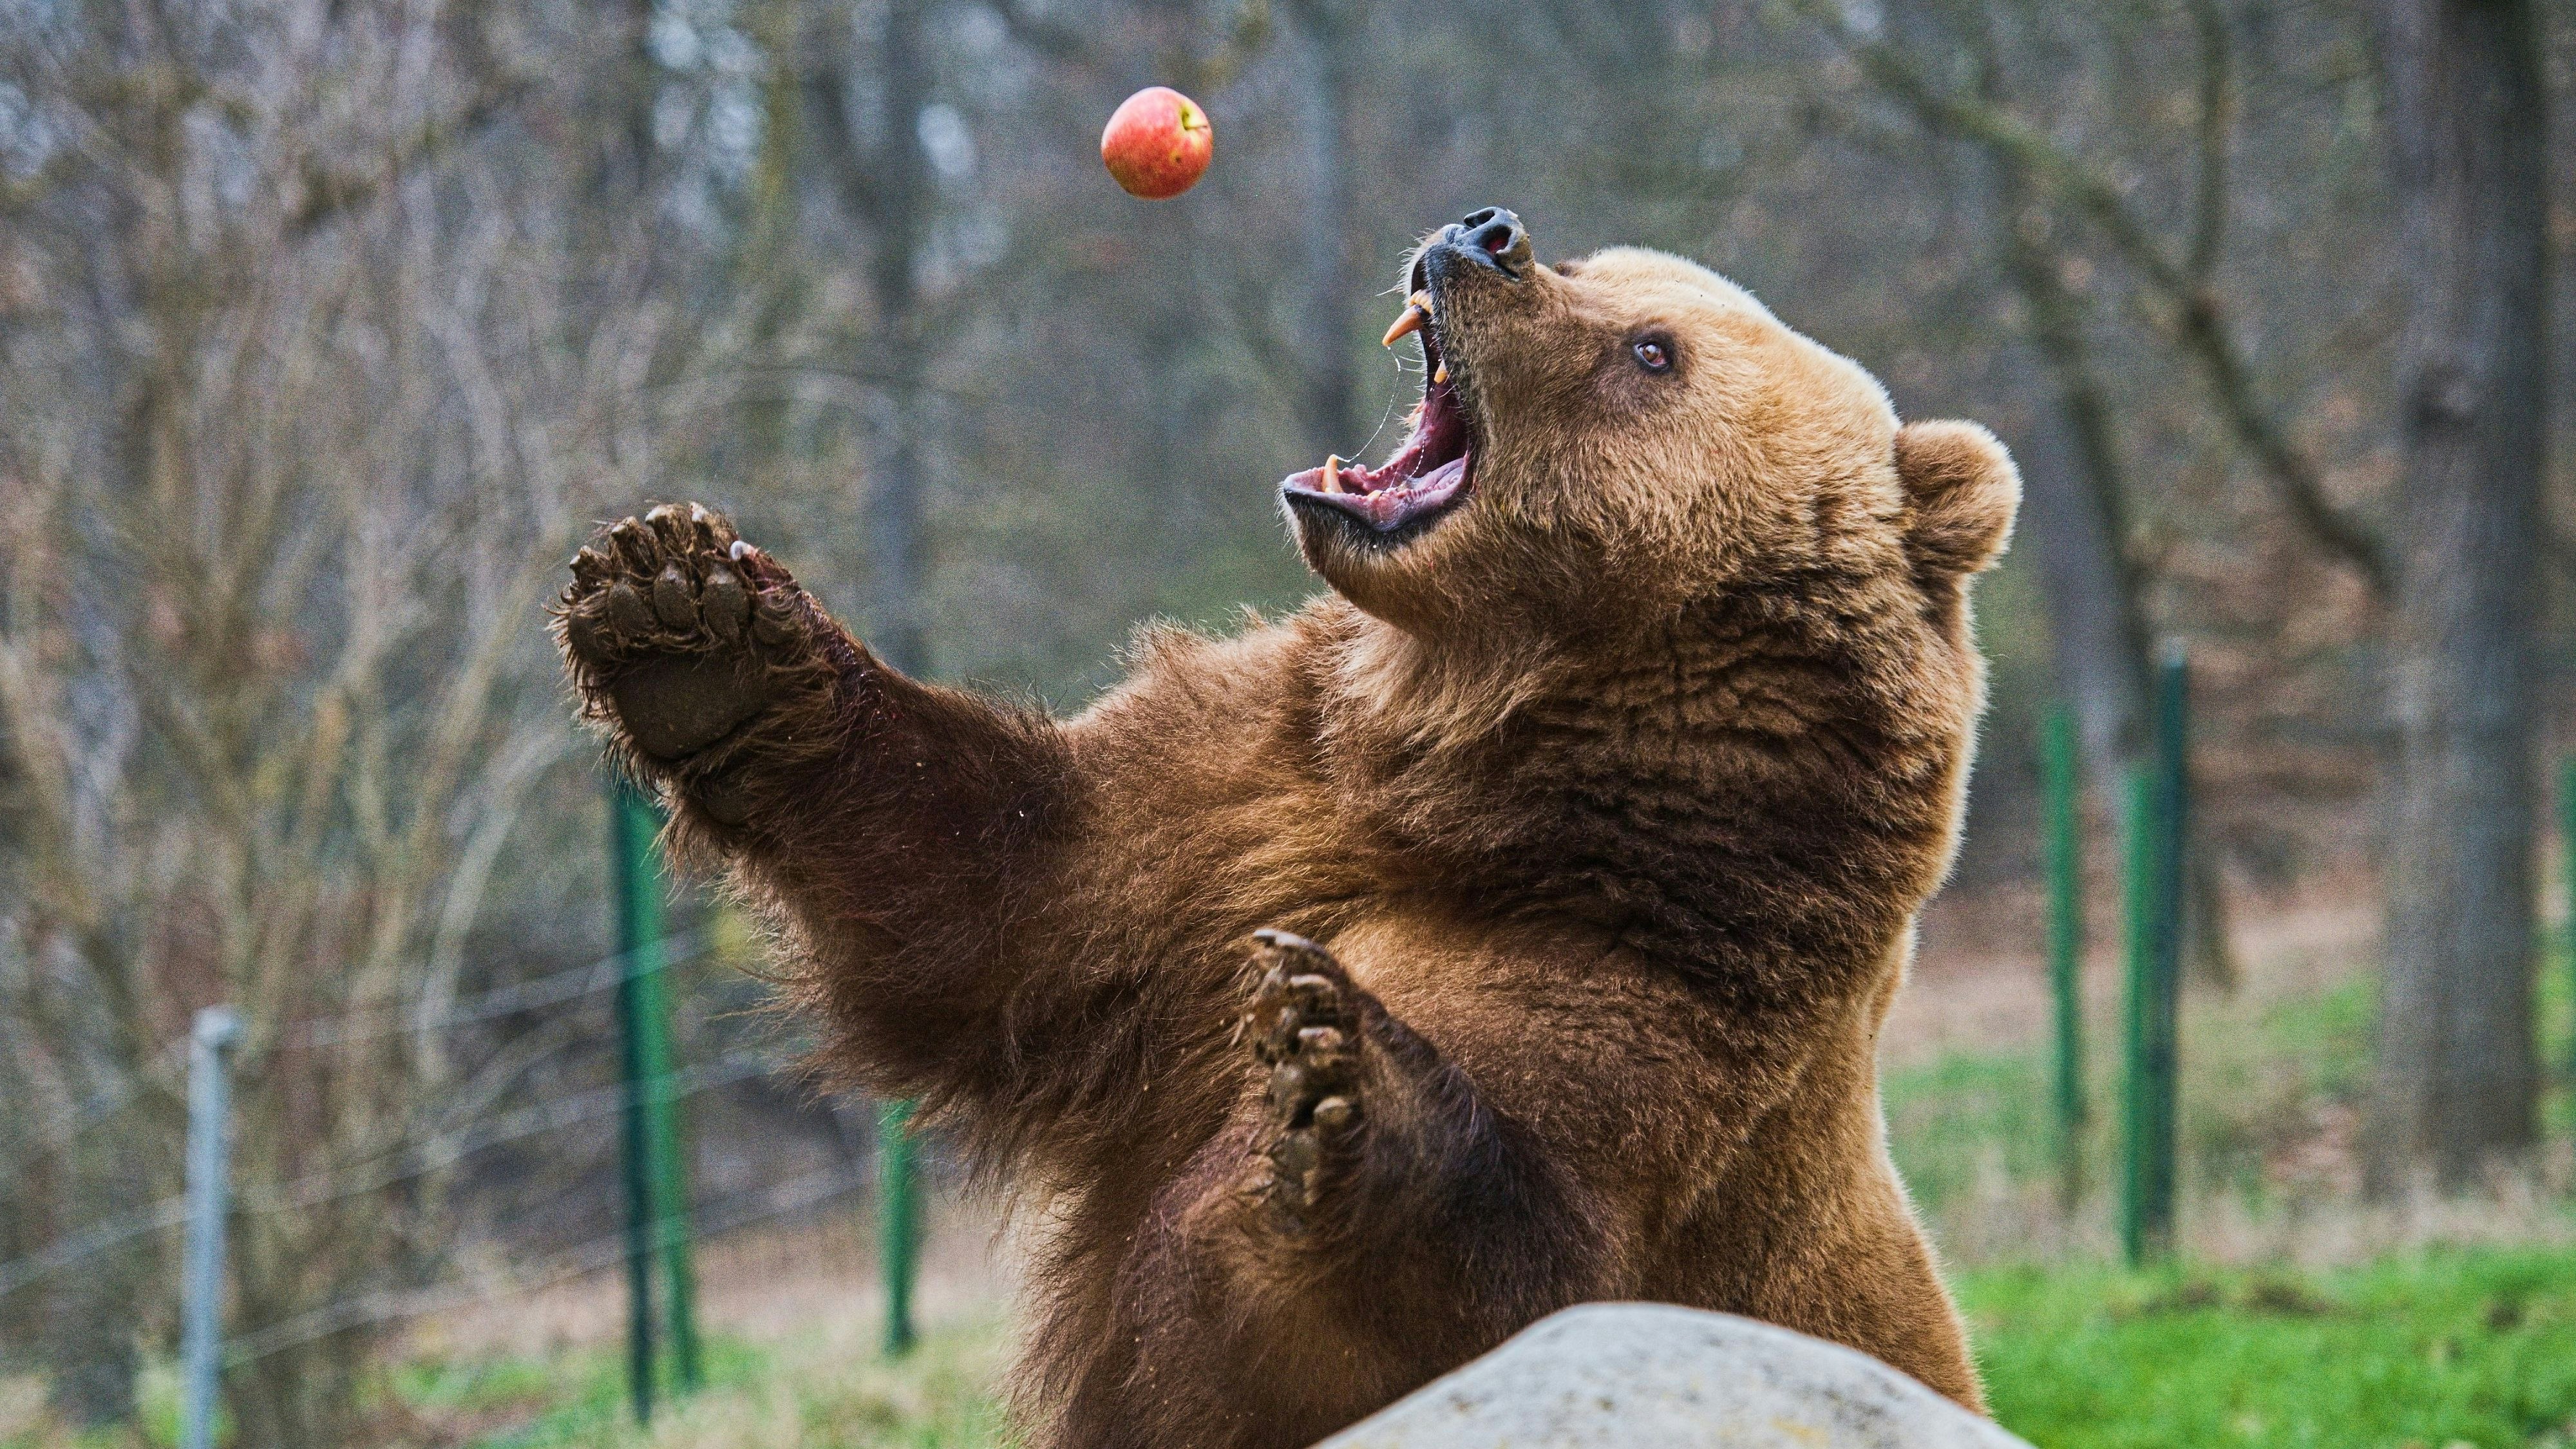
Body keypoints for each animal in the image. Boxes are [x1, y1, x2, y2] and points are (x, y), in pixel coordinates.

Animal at [553, 205, 2018, 1449]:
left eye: (1652, 348)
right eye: (1602, 263)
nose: (1482, 232)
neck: (1480, 757)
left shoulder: (1663, 981)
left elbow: (1411, 1283)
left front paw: (1332, 1070)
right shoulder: (1234, 816)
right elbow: (983, 886)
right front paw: (686, 611)